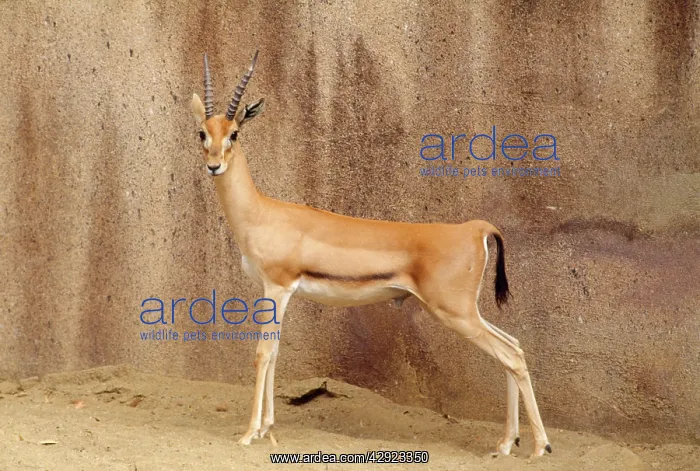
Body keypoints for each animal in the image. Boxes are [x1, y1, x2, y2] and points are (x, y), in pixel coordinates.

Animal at [189, 51, 552, 457]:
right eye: (202, 132)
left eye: (234, 133)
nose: (214, 165)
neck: (261, 213)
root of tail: (475, 228)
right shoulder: (277, 292)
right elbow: (277, 352)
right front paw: (268, 429)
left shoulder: (278, 287)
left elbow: (263, 353)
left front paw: (250, 432)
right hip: (464, 311)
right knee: (514, 345)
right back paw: (507, 443)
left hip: (455, 313)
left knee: (511, 355)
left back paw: (539, 446)